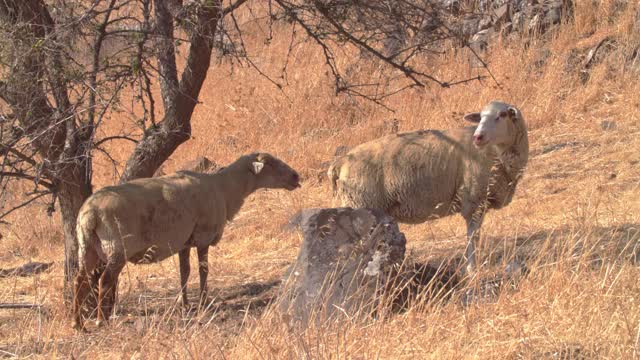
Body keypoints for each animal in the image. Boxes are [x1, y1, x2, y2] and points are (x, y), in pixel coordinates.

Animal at [71, 152, 302, 330]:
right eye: (270, 163)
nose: (296, 175)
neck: (224, 189)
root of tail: (89, 213)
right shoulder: (203, 236)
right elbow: (203, 270)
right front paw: (203, 301)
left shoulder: (184, 242)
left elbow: (184, 272)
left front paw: (184, 304)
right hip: (117, 248)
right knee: (105, 281)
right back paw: (101, 320)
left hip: (87, 246)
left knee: (79, 280)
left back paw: (78, 324)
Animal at [328, 100, 528, 272]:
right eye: (480, 117)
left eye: (502, 115)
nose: (478, 137)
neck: (497, 155)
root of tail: (340, 162)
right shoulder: (473, 201)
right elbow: (473, 236)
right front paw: (472, 268)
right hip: (361, 206)